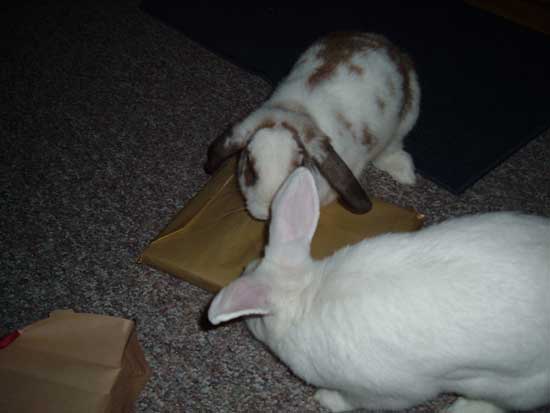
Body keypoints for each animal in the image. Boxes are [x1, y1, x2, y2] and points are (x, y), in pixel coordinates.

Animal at [205, 31, 420, 219]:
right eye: (249, 168)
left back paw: (405, 173)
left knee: (392, 146)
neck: (294, 110)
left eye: (300, 166)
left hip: (409, 115)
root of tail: (384, 44)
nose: (266, 213)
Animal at [210, 166, 550, 410]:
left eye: (256, 318)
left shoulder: (385, 392)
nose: (243, 268)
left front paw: (325, 399)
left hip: (508, 385)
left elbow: (354, 401)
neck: (305, 296)